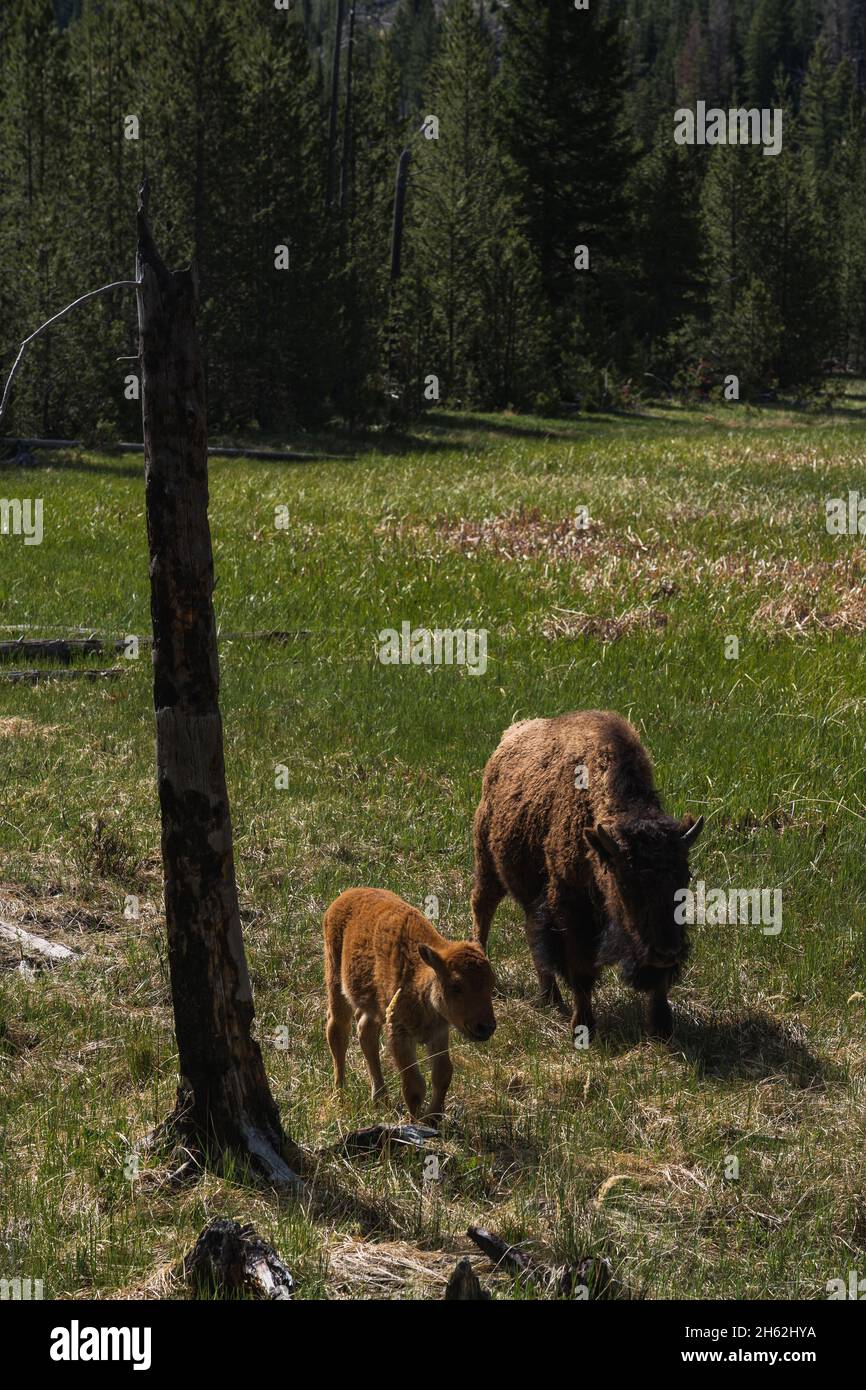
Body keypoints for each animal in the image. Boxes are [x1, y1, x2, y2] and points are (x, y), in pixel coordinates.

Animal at [323, 887, 496, 1120]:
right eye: (456, 986)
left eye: (491, 984)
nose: (486, 1027)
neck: (420, 977)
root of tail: (346, 895)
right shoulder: (399, 1034)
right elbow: (414, 1086)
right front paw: (416, 1121)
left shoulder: (439, 1033)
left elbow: (443, 1074)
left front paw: (433, 1118)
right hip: (336, 982)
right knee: (337, 1031)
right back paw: (340, 1094)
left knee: (365, 1032)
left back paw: (380, 1098)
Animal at [471, 711, 703, 1040]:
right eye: (627, 885)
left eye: (685, 879)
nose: (667, 952)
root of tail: (510, 736)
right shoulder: (572, 910)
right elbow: (581, 971)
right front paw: (583, 1027)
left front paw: (661, 1027)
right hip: (488, 865)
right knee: (482, 909)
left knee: (532, 936)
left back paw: (550, 998)